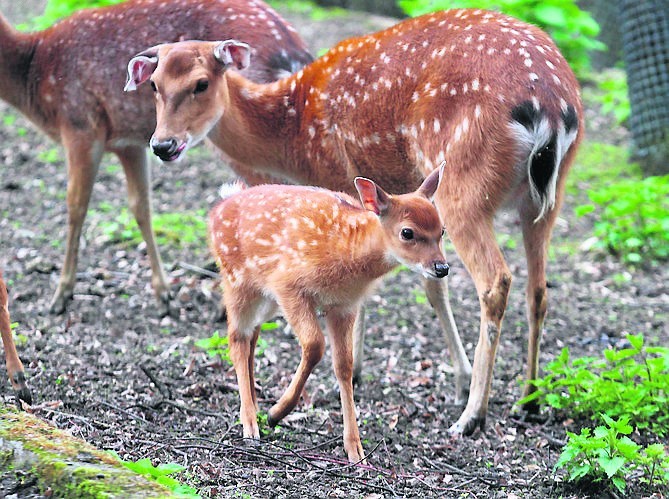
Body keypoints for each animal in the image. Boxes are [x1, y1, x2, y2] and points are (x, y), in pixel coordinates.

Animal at [0, 0, 314, 314]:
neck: (36, 72)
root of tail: (295, 52)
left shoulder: (79, 124)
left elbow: (75, 206)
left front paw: (61, 294)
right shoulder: (128, 143)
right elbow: (141, 207)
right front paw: (163, 293)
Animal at [211, 168, 446, 460]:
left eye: (442, 230)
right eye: (407, 232)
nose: (442, 267)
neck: (348, 250)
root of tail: (222, 204)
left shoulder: (344, 306)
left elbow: (344, 365)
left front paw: (354, 447)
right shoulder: (288, 285)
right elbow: (314, 345)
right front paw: (277, 412)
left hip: (264, 296)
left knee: (251, 335)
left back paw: (254, 404)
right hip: (236, 280)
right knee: (236, 339)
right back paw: (250, 423)